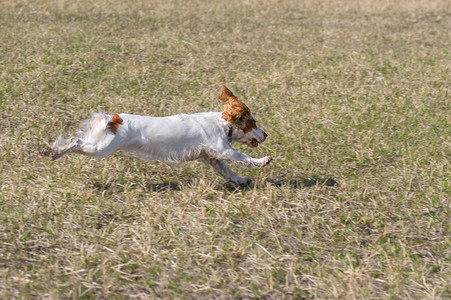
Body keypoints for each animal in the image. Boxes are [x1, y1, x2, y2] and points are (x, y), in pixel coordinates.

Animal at [42, 86, 274, 184]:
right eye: (252, 122)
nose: (266, 134)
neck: (222, 124)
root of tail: (114, 118)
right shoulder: (223, 149)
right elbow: (244, 157)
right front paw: (263, 160)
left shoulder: (212, 157)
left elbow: (228, 172)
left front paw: (241, 180)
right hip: (101, 148)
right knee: (75, 141)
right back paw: (54, 151)